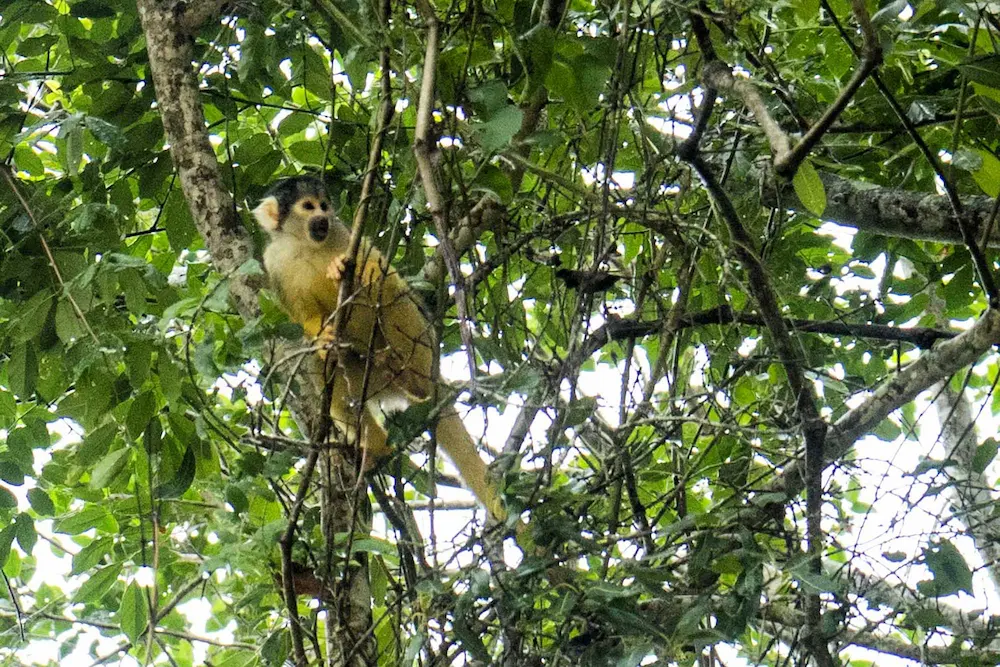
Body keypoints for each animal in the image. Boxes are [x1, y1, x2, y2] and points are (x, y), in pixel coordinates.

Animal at [253, 176, 507, 524]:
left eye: (324, 205)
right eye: (308, 206)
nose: (322, 217)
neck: (306, 244)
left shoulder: (345, 234)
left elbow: (382, 273)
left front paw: (345, 269)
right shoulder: (274, 264)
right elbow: (302, 317)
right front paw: (322, 337)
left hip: (423, 344)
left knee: (395, 299)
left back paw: (412, 378)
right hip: (370, 378)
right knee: (323, 374)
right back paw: (375, 445)